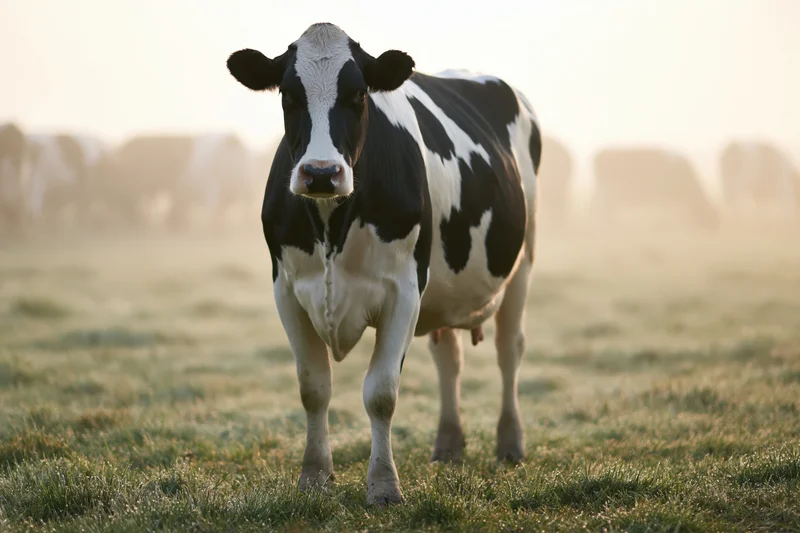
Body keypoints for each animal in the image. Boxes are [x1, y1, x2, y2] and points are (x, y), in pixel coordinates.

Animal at [226, 22, 541, 505]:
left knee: (509, 350)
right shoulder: (287, 291)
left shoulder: (404, 291)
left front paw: (384, 486)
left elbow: (381, 393)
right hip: (446, 289)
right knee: (448, 358)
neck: (331, 226)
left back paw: (510, 444)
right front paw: (314, 476)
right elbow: (313, 388)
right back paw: (448, 445)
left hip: (522, 260)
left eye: (359, 94)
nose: (321, 172)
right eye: (288, 94)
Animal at [589, 147, 718, 229]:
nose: (715, 227)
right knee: (600, 209)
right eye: (710, 216)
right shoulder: (668, 197)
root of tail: (600, 154)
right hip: (609, 192)